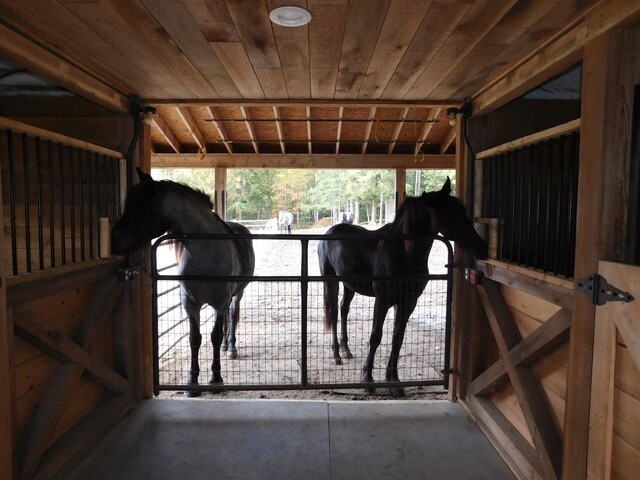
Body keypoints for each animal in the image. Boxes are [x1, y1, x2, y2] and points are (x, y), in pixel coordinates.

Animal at [111, 169, 254, 394]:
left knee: (232, 316)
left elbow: (214, 336)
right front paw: (192, 383)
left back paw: (231, 348)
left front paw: (216, 379)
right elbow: (194, 339)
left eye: (139, 207)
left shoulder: (220, 301)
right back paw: (225, 347)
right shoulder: (190, 302)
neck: (206, 254)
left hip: (236, 295)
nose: (113, 240)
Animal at [318, 178, 488, 396]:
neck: (403, 254)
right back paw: (336, 355)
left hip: (349, 285)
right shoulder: (382, 301)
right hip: (330, 280)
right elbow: (376, 337)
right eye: (449, 213)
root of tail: (330, 232)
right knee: (332, 312)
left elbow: (397, 338)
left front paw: (394, 381)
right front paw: (368, 379)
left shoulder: (408, 302)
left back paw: (346, 350)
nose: (481, 247)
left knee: (343, 309)